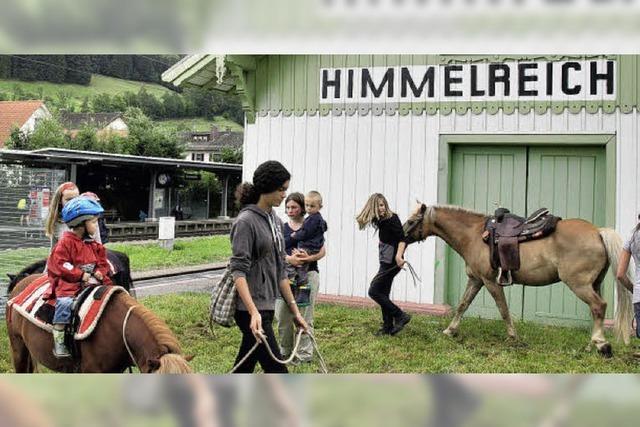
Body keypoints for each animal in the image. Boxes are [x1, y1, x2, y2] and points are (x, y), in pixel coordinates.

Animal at [404, 204, 636, 358]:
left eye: (412, 221)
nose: (401, 236)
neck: (474, 234)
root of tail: (598, 232)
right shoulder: (476, 280)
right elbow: (463, 304)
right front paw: (450, 330)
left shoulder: (490, 281)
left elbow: (503, 309)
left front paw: (513, 336)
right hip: (594, 284)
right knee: (596, 309)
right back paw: (592, 344)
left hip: (579, 284)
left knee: (599, 306)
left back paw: (601, 344)